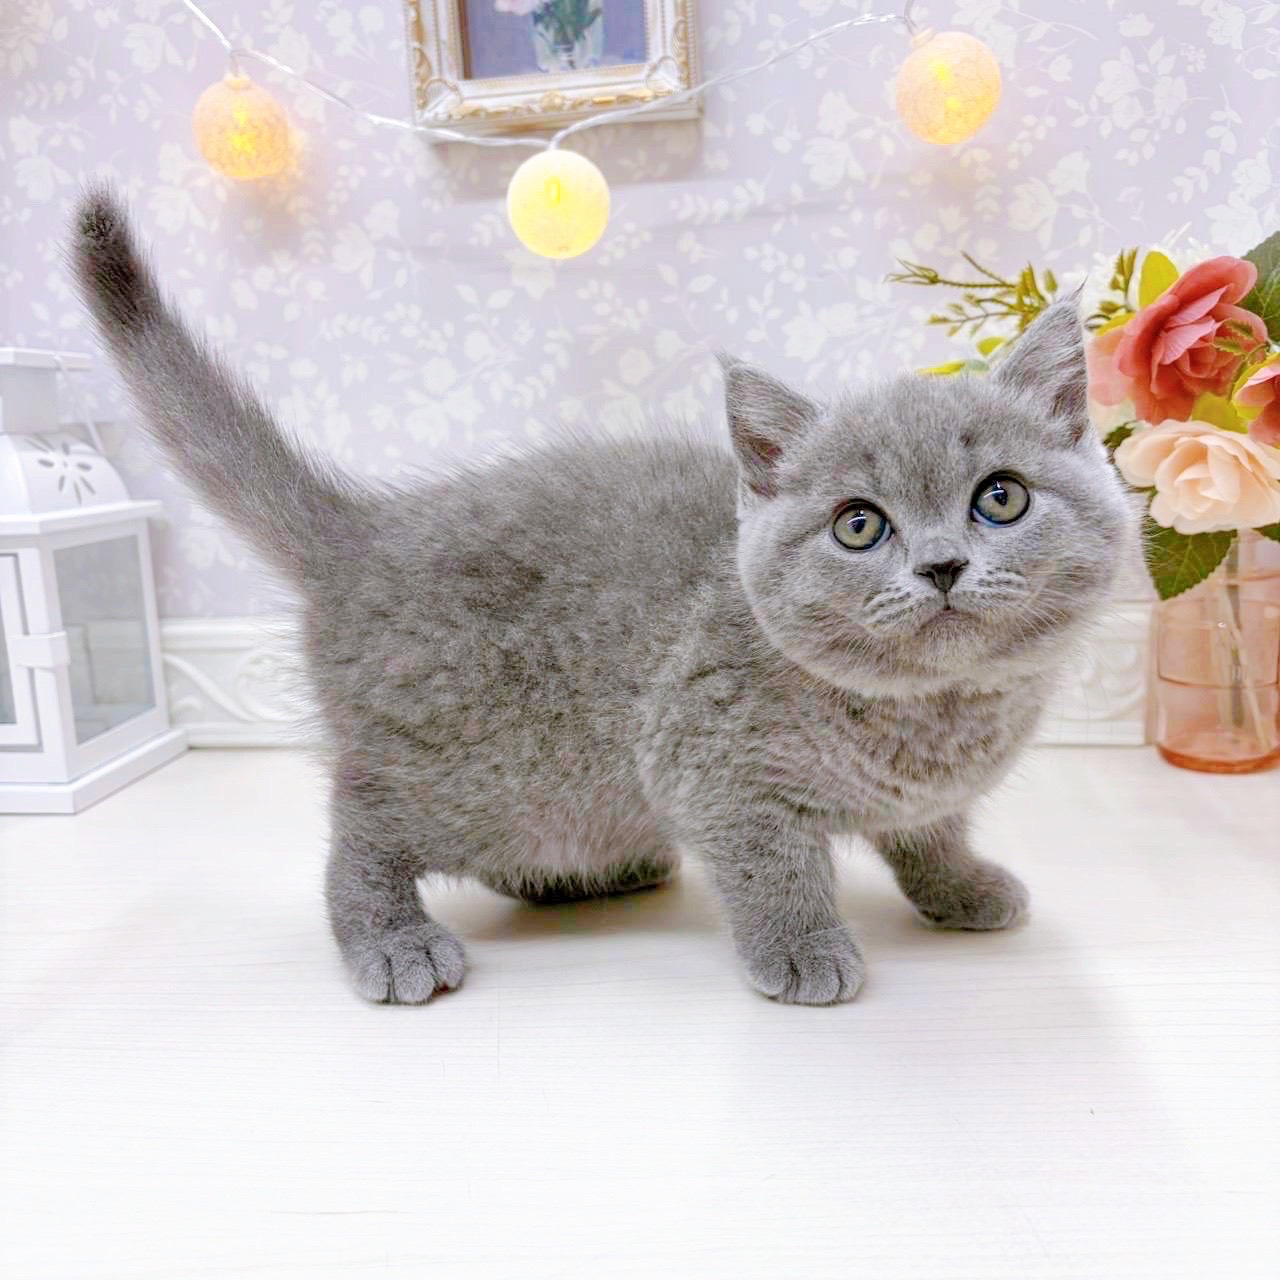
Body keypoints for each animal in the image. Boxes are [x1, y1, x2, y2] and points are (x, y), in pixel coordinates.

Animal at [72, 186, 1133, 1006]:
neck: (931, 715)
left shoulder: (922, 796)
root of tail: (362, 535)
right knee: (360, 829)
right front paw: (801, 950)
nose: (943, 566)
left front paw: (964, 889)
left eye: (1001, 498)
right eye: (860, 526)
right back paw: (392, 939)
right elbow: (772, 863)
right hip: (478, 773)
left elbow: (931, 836)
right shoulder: (704, 763)